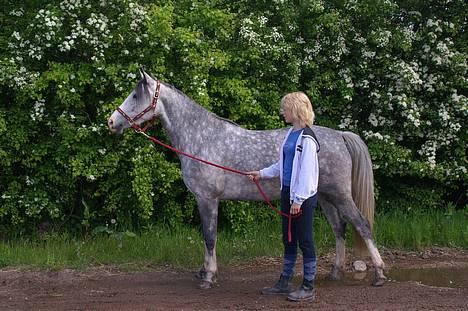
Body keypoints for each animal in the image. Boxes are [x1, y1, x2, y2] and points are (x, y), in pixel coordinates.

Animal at [109, 70, 388, 290]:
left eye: (136, 95)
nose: (112, 121)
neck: (201, 138)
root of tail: (340, 135)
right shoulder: (204, 200)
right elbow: (206, 237)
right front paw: (205, 271)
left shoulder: (207, 199)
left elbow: (210, 236)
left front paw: (208, 277)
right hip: (325, 197)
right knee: (339, 229)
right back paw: (335, 272)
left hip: (340, 195)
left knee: (362, 225)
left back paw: (380, 274)